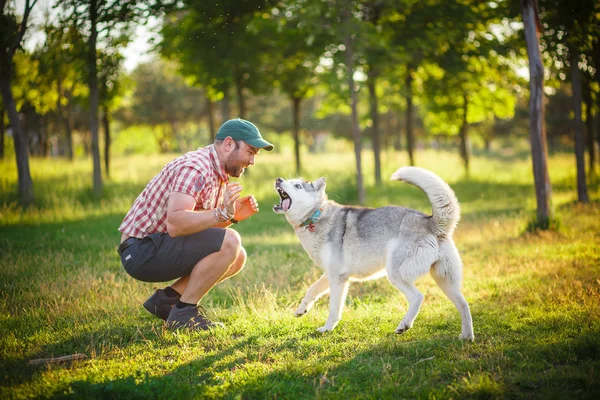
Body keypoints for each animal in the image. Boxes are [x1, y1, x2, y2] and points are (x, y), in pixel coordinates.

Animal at [274, 166, 476, 340]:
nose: (278, 179)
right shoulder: (332, 275)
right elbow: (312, 290)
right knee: (464, 304)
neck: (316, 215)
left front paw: (327, 328)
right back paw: (466, 336)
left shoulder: (338, 279)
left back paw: (404, 325)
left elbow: (334, 310)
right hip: (445, 280)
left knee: (418, 297)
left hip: (395, 274)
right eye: (289, 181)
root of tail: (430, 222)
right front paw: (301, 310)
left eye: (297, 186)